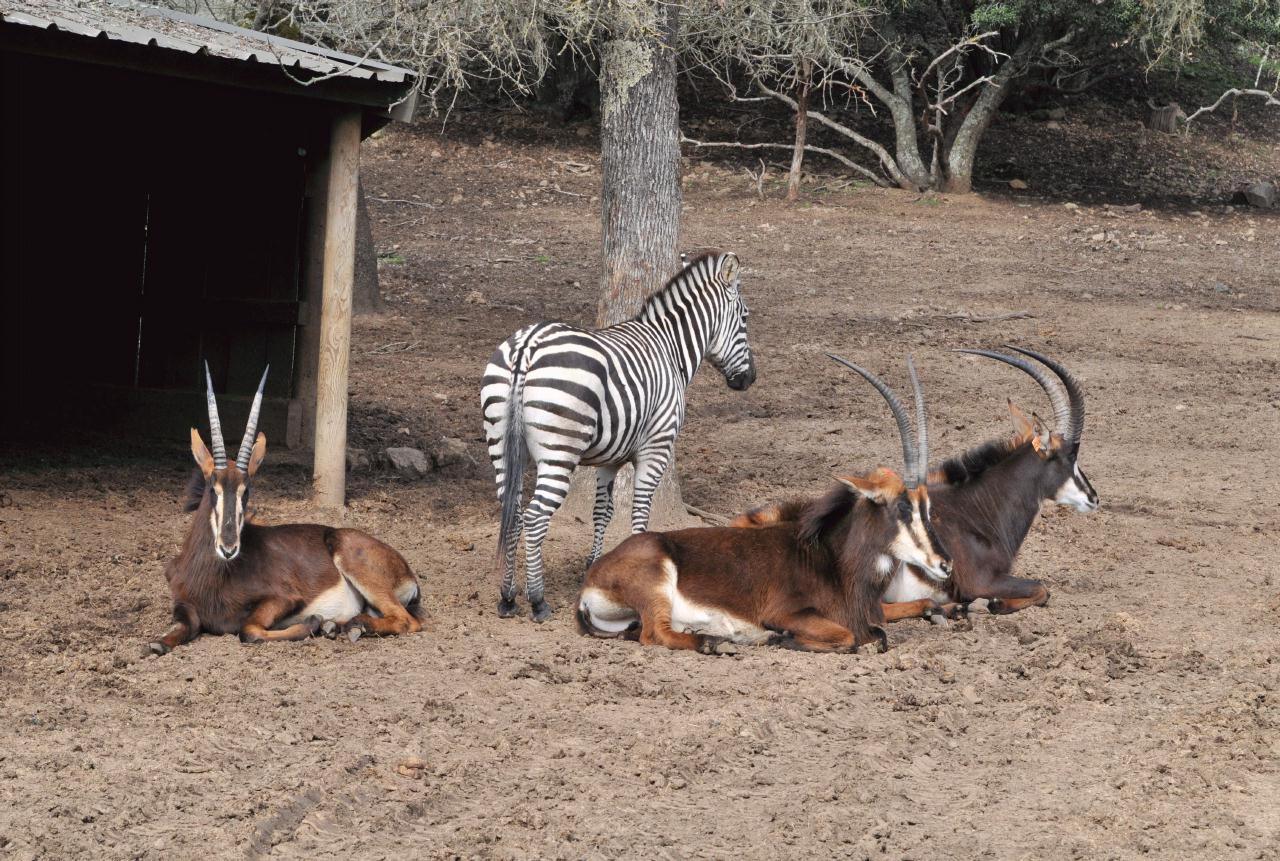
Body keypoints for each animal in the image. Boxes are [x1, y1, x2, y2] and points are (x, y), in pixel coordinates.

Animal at [145, 365, 424, 655]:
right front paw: (158, 643)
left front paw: (312, 622)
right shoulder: (183, 603)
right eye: (214, 488)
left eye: (247, 491)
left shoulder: (284, 598)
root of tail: (407, 571)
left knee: (408, 620)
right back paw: (335, 626)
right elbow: (181, 629)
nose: (228, 548)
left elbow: (248, 630)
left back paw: (351, 626)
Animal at [481, 252, 757, 621]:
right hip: (559, 451)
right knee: (535, 516)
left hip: (501, 443)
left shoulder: (608, 458)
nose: (749, 379)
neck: (669, 348)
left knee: (511, 511)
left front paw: (594, 564)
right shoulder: (657, 446)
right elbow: (640, 509)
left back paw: (508, 597)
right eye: (744, 318)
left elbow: (603, 510)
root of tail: (528, 344)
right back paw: (538, 600)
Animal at [578, 355, 952, 652]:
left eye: (928, 507)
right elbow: (853, 637)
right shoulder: (788, 612)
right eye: (903, 507)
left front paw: (945, 610)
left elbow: (917, 604)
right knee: (655, 634)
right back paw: (720, 641)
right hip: (657, 584)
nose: (945, 564)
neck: (831, 558)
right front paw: (782, 637)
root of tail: (590, 581)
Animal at [732, 345, 1100, 621]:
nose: (1094, 498)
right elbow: (1042, 588)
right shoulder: (981, 581)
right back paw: (945, 609)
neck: (978, 511)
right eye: (1070, 457)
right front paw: (992, 605)